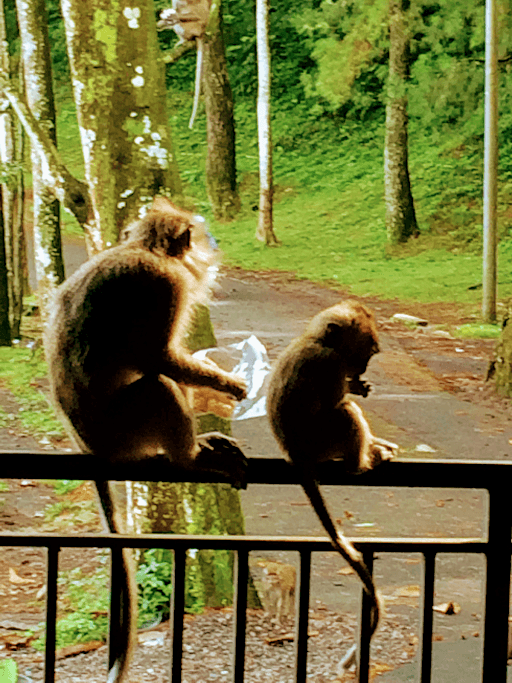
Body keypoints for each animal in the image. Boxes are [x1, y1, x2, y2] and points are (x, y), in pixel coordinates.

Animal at [43, 198, 247, 683]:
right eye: (200, 234)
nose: (214, 244)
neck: (144, 249)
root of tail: (89, 446)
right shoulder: (163, 282)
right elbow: (159, 360)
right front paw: (223, 386)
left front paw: (213, 395)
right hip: (126, 428)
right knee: (156, 386)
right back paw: (191, 456)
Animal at [157, 1, 211, 130]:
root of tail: (201, 32)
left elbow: (197, 14)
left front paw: (171, 16)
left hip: (192, 28)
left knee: (181, 21)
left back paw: (182, 39)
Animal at [266, 300, 398, 640]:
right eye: (366, 351)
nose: (362, 369)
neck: (318, 340)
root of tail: (294, 454)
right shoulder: (329, 363)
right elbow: (336, 402)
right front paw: (354, 388)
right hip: (321, 442)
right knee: (344, 413)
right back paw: (360, 463)